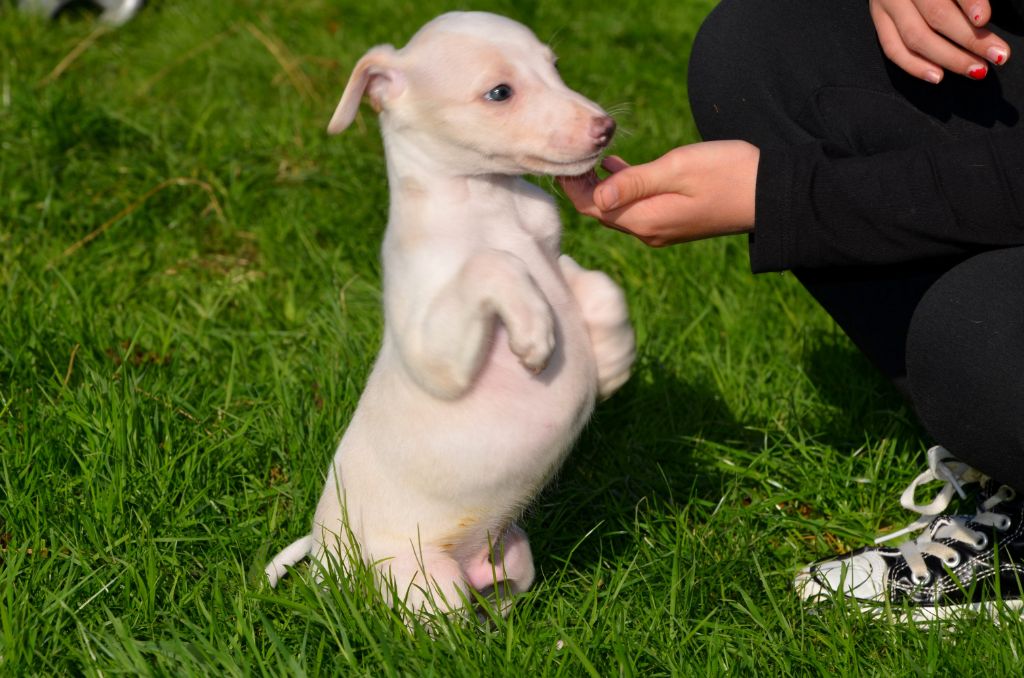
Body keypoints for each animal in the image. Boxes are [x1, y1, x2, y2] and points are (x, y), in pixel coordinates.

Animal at [264, 11, 630, 622]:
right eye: (500, 93)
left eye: (554, 67)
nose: (606, 127)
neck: (494, 205)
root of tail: (325, 555)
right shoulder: (433, 355)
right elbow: (494, 265)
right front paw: (535, 334)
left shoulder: (556, 263)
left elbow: (599, 284)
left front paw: (614, 361)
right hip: (423, 582)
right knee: (430, 625)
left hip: (514, 557)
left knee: (496, 600)